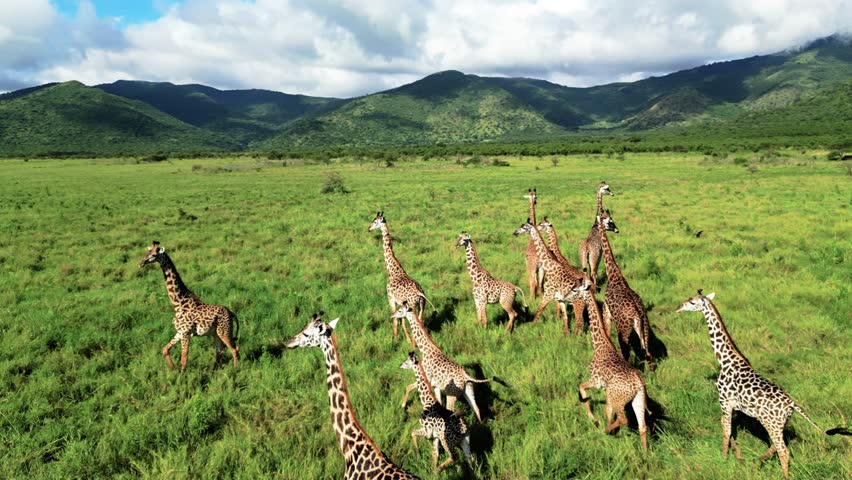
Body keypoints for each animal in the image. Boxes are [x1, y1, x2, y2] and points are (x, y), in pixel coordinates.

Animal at [138, 241, 239, 373]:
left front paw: (181, 376)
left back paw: (236, 370)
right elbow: (165, 349)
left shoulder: (186, 333)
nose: (141, 263)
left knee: (234, 349)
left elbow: (184, 358)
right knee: (220, 350)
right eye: (147, 252)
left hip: (224, 331)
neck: (178, 303)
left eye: (154, 254)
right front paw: (173, 369)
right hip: (215, 333)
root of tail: (231, 312)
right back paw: (213, 371)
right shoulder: (180, 332)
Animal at [369, 211, 434, 343]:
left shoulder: (391, 298)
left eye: (375, 221)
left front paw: (395, 340)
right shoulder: (401, 304)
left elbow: (395, 320)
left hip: (413, 306)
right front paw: (405, 340)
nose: (369, 228)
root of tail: (420, 293)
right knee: (420, 323)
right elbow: (402, 321)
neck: (392, 270)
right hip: (422, 307)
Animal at [572, 278, 649, 451]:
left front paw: (594, 420)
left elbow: (581, 387)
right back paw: (647, 455)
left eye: (575, 290)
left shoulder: (597, 382)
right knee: (642, 426)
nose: (566, 296)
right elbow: (607, 410)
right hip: (637, 399)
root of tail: (638, 384)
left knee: (624, 419)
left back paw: (606, 431)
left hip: (618, 399)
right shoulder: (606, 391)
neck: (600, 344)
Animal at [597, 211, 655, 370]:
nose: (617, 230)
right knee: (648, 355)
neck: (613, 275)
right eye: (610, 221)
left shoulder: (606, 312)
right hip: (645, 329)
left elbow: (606, 333)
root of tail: (637, 315)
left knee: (626, 356)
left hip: (623, 331)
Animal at [677, 291, 850, 480]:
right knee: (778, 445)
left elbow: (726, 430)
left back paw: (780, 474)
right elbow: (729, 428)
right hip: (778, 423)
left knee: (783, 451)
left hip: (771, 423)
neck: (724, 360)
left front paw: (723, 460)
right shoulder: (735, 407)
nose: (678, 307)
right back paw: (758, 461)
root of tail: (792, 404)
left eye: (692, 302)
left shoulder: (724, 401)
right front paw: (737, 457)